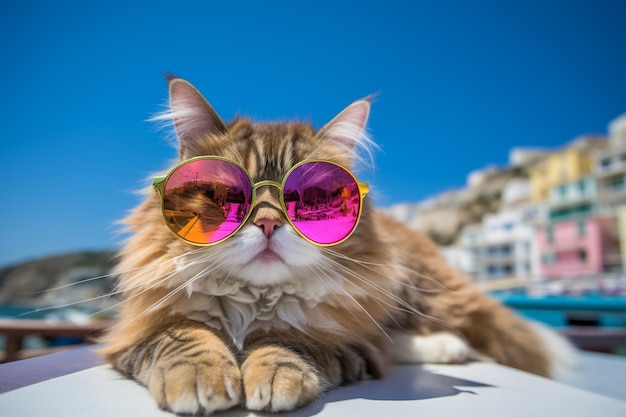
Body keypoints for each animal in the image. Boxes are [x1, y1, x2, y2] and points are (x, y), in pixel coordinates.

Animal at [100, 77, 572, 412]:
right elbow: (183, 336)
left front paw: (271, 373)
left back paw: (448, 347)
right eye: (226, 195)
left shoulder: (345, 344)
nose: (269, 223)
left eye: (308, 198)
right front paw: (202, 376)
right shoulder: (132, 333)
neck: (254, 302)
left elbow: (288, 340)